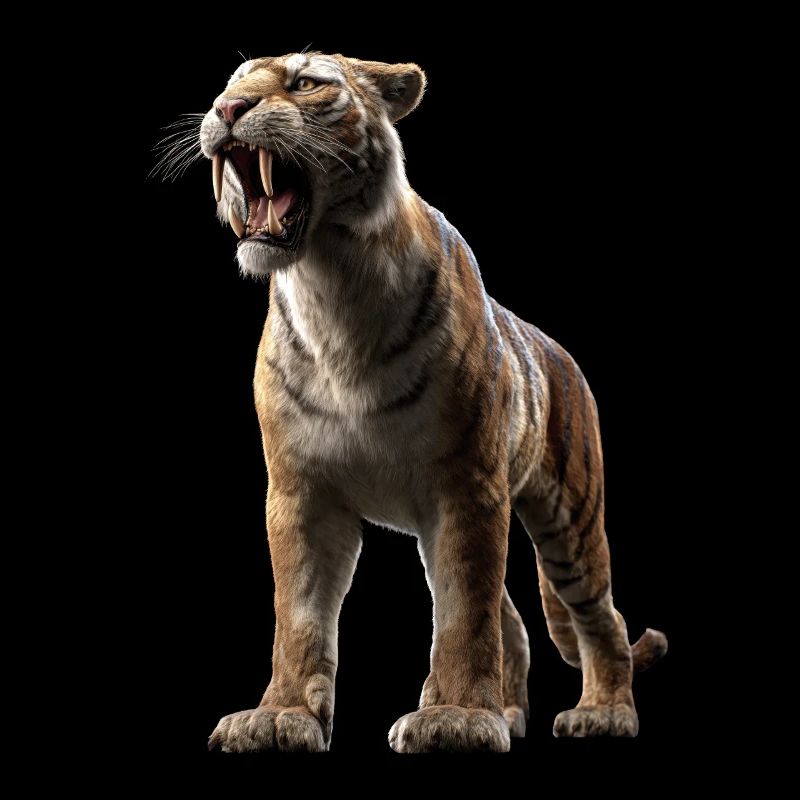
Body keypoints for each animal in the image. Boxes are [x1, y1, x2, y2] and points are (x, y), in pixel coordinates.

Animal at [195, 51, 667, 753]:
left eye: (305, 84)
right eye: (228, 86)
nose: (228, 110)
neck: (330, 286)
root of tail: (561, 352)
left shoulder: (467, 486)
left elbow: (464, 615)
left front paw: (456, 717)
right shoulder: (301, 491)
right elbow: (299, 615)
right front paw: (280, 716)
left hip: (570, 521)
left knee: (599, 618)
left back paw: (604, 713)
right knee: (513, 621)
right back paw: (511, 710)